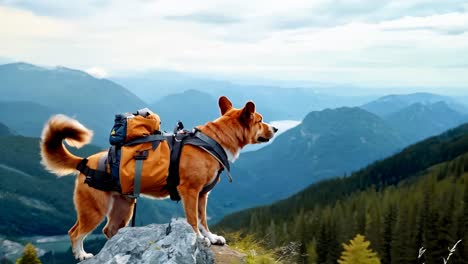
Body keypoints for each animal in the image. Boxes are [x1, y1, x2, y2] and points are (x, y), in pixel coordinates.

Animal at [40, 96, 278, 260]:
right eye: (260, 120)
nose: (276, 128)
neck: (214, 141)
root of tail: (85, 161)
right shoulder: (190, 192)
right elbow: (193, 221)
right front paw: (199, 239)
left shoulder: (202, 196)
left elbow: (203, 219)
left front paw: (210, 237)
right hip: (94, 209)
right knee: (75, 233)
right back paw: (81, 254)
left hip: (124, 208)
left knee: (109, 230)